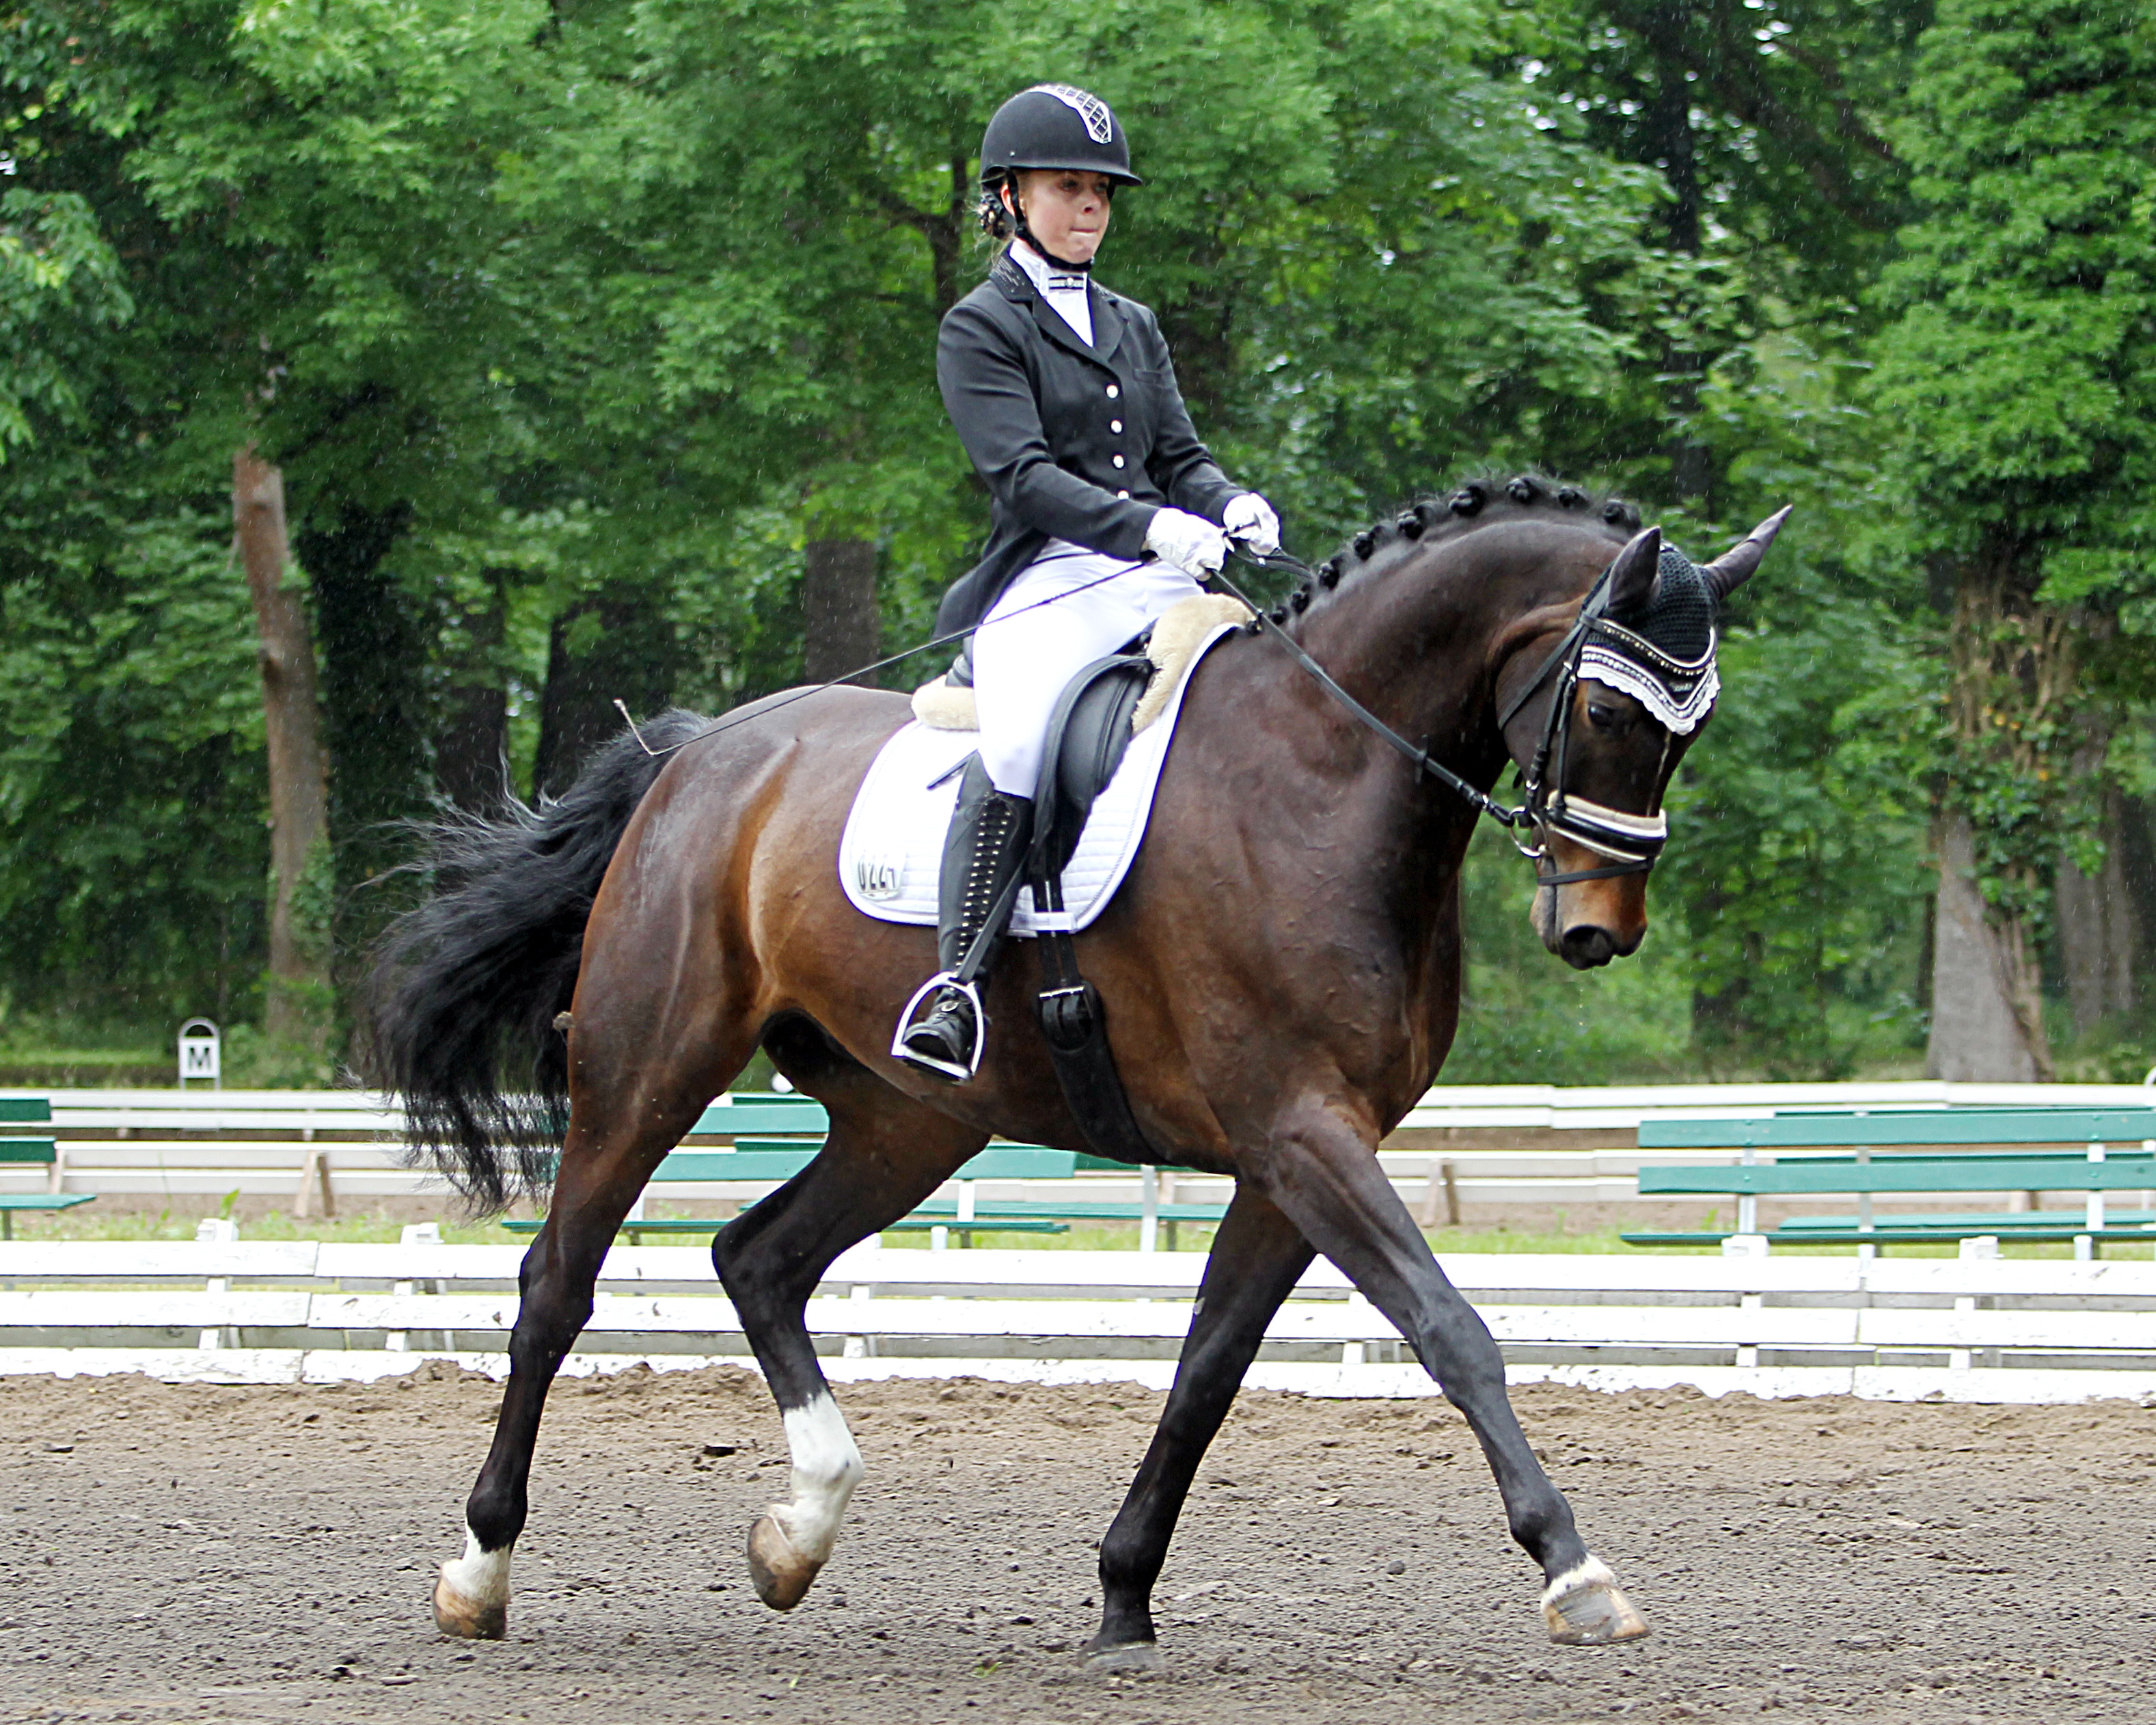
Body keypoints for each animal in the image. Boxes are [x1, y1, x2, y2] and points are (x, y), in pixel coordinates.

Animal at [366, 478, 1785, 1664]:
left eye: (1695, 725)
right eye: (1605, 707)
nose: (1597, 929)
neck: (1325, 777)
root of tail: (704, 751)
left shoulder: (1294, 1153)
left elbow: (1208, 1368)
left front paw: (1122, 1593)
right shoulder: (1301, 1130)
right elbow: (1453, 1330)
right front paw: (1577, 1568)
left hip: (908, 1120)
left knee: (759, 1257)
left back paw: (798, 1531)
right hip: (650, 1066)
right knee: (557, 1282)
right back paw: (481, 1569)